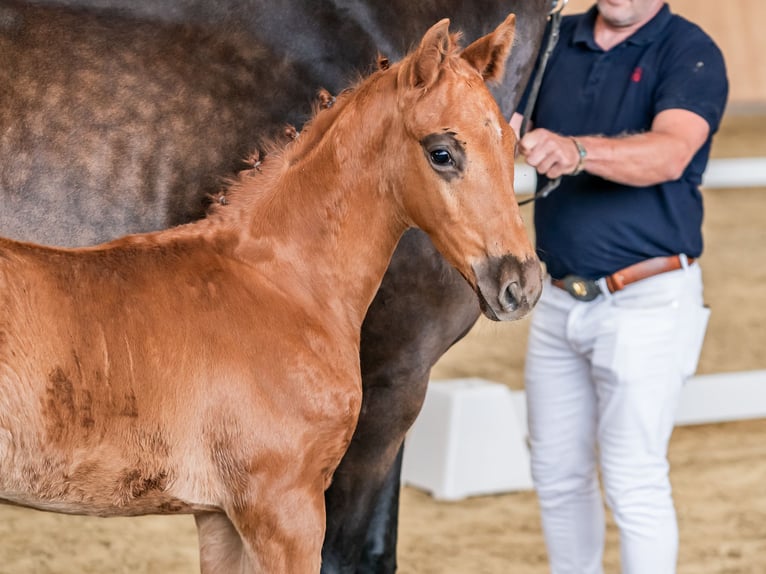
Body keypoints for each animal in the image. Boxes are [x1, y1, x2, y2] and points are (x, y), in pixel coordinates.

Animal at [0, 0, 556, 572]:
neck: (280, 285)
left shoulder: (220, 517)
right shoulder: (286, 506)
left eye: (511, 144)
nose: (520, 282)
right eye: (442, 152)